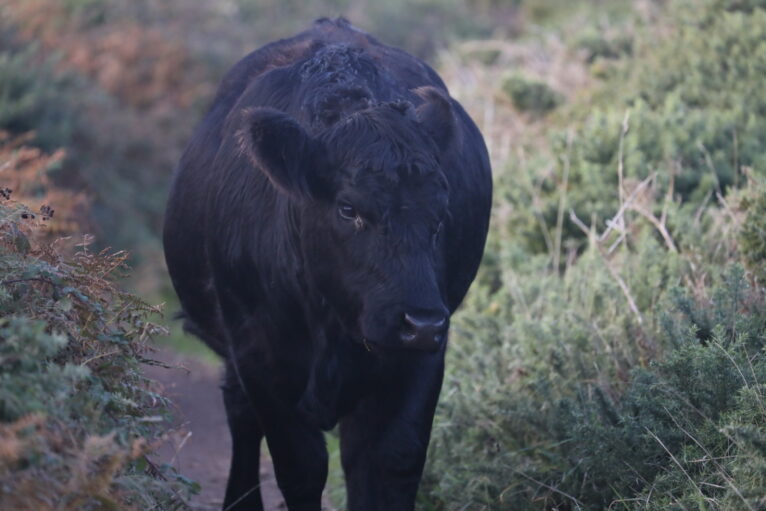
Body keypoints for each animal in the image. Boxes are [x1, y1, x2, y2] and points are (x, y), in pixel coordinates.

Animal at [165, 18, 496, 510]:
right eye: (348, 209)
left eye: (441, 214)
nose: (420, 323)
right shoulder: (259, 353)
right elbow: (300, 466)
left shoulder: (418, 360)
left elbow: (388, 462)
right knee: (241, 418)